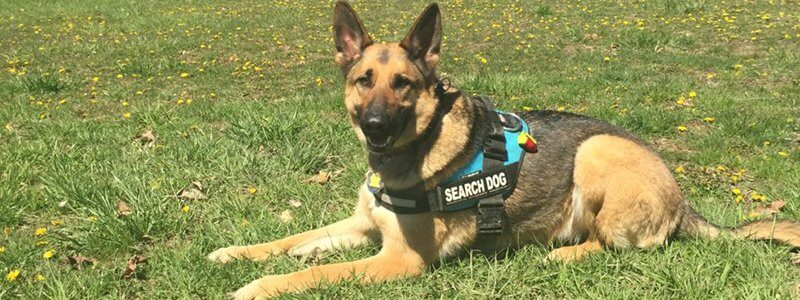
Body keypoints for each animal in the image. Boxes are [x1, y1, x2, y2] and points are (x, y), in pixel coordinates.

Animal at [208, 1, 800, 298]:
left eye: (403, 84)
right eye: (363, 81)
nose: (375, 125)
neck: (413, 148)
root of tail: (682, 199)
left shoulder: (399, 260)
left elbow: (314, 272)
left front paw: (259, 285)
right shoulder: (360, 225)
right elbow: (291, 240)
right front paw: (235, 253)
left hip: (596, 151)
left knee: (623, 244)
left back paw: (566, 251)